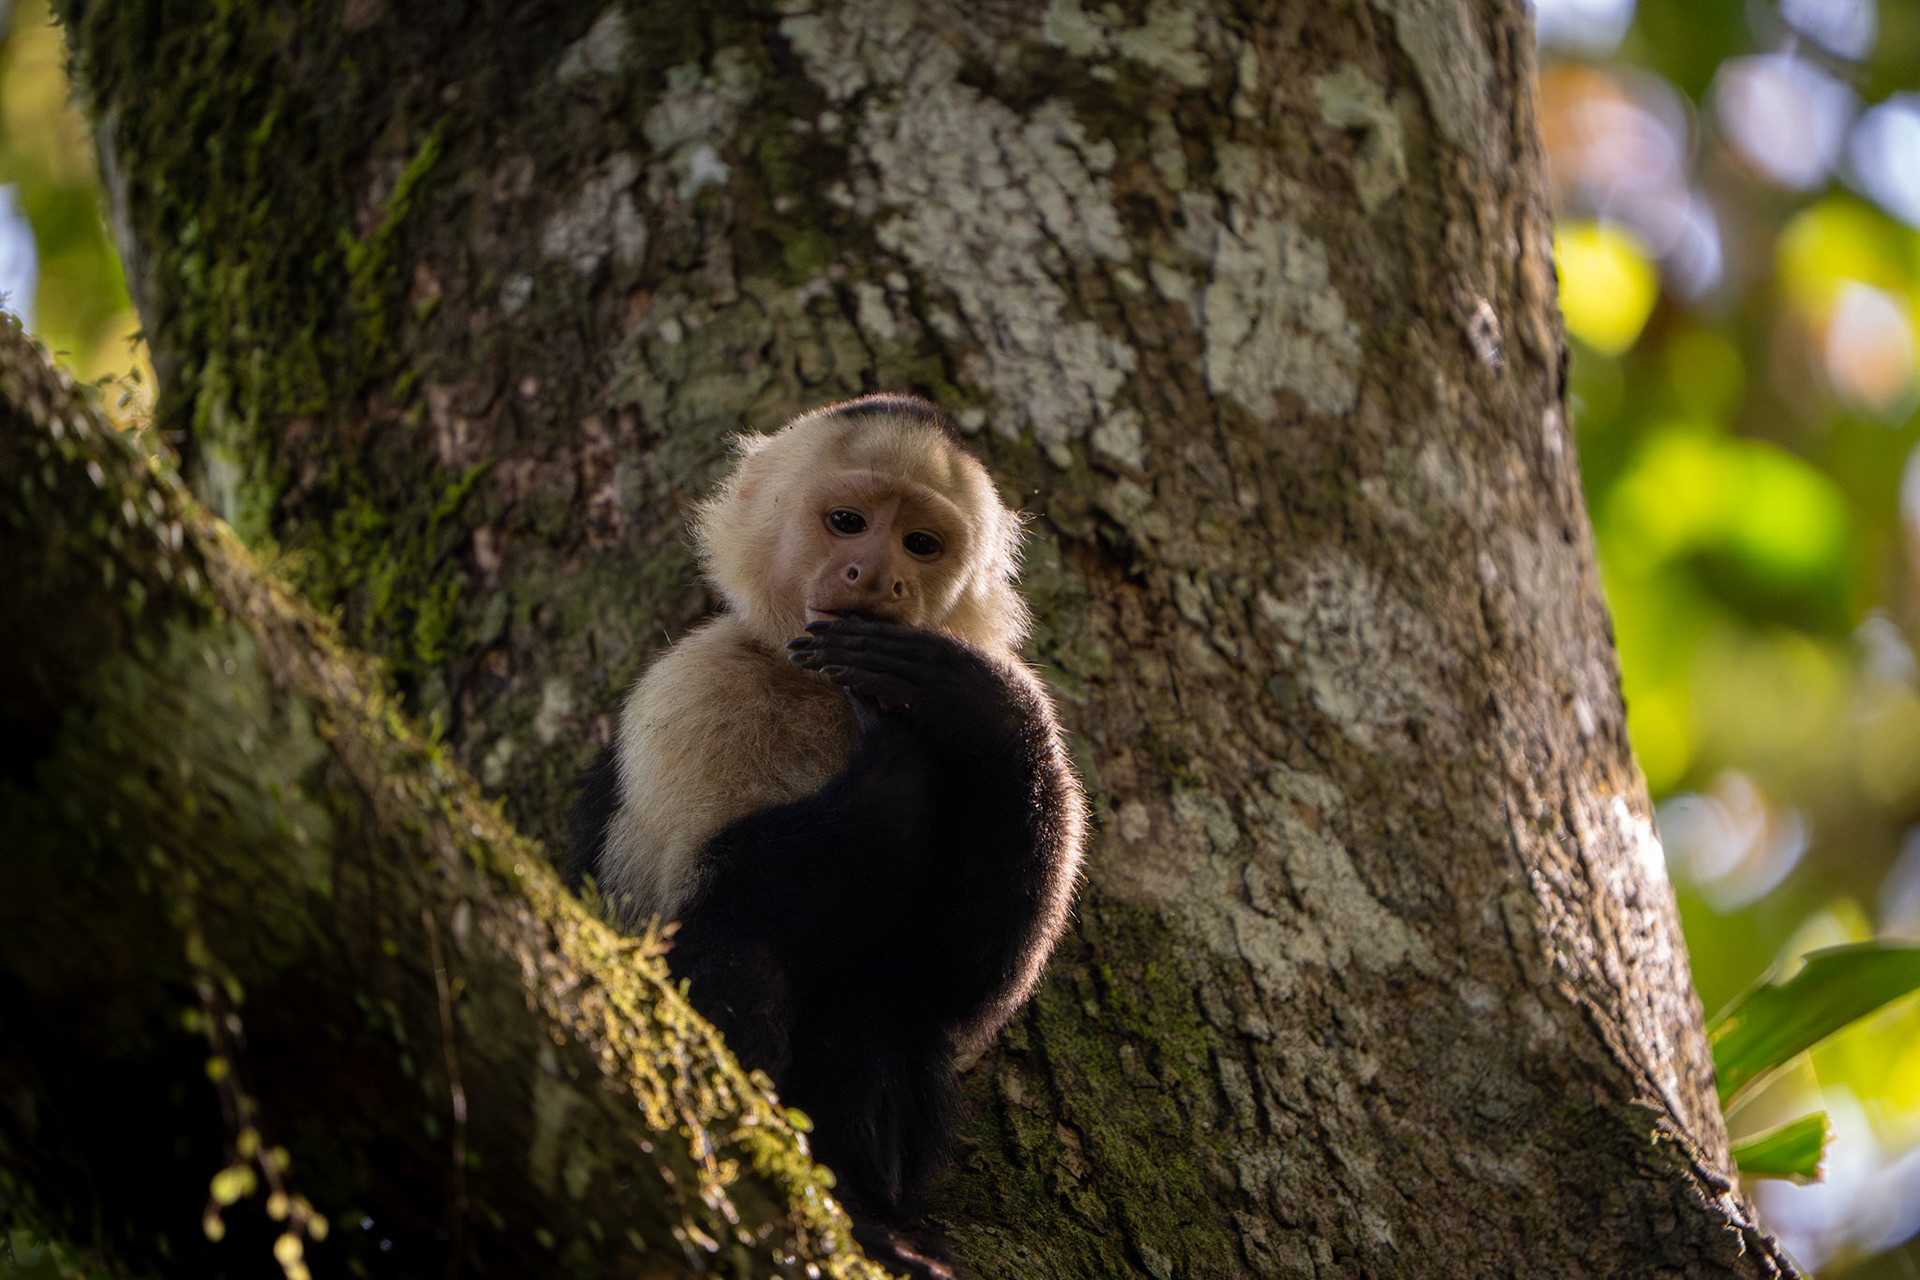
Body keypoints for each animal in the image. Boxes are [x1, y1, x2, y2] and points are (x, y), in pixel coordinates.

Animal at [566, 394, 1086, 1236]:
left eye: (920, 543)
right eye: (847, 522)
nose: (875, 574)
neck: (816, 683)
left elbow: (955, 982)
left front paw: (979, 705)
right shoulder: (696, 687)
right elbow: (668, 921)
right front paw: (895, 769)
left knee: (877, 996)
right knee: (738, 938)